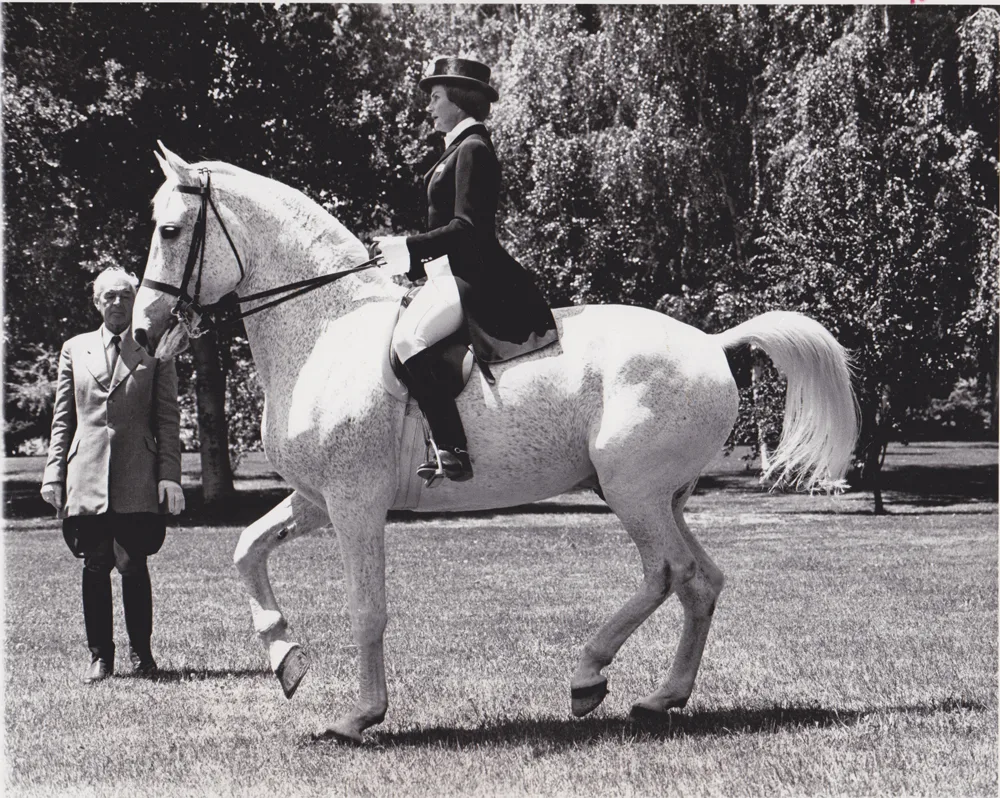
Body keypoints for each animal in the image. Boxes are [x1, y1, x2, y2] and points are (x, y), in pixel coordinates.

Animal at [131, 142, 860, 744]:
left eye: (170, 230)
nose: (143, 331)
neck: (324, 328)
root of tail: (710, 342)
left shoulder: (354, 502)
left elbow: (368, 608)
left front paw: (359, 715)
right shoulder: (316, 498)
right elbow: (247, 549)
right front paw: (286, 657)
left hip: (633, 491)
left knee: (665, 573)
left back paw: (588, 675)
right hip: (666, 496)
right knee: (701, 582)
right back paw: (662, 697)